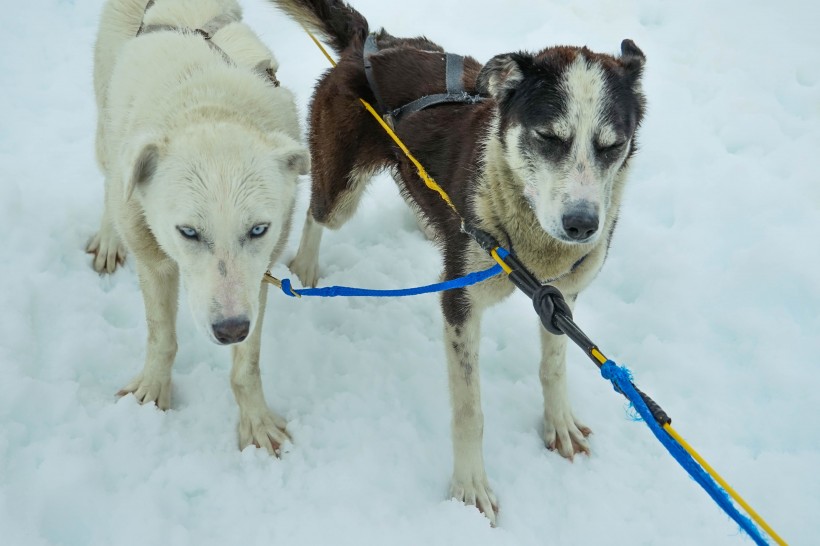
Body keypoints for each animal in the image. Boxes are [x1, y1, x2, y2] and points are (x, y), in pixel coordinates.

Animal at [88, 0, 310, 452]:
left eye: (258, 229)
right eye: (189, 232)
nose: (231, 329)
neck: (210, 104)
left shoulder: (256, 280)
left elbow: (247, 366)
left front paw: (256, 421)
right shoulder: (153, 259)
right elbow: (162, 337)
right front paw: (152, 392)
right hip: (107, 133)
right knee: (110, 179)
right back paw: (108, 236)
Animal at [270, 0, 648, 520]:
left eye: (612, 144)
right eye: (549, 137)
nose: (582, 224)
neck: (529, 247)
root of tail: (371, 42)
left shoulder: (560, 300)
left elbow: (553, 367)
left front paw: (559, 424)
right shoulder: (459, 307)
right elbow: (470, 410)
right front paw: (470, 487)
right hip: (339, 193)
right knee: (316, 211)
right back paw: (304, 268)